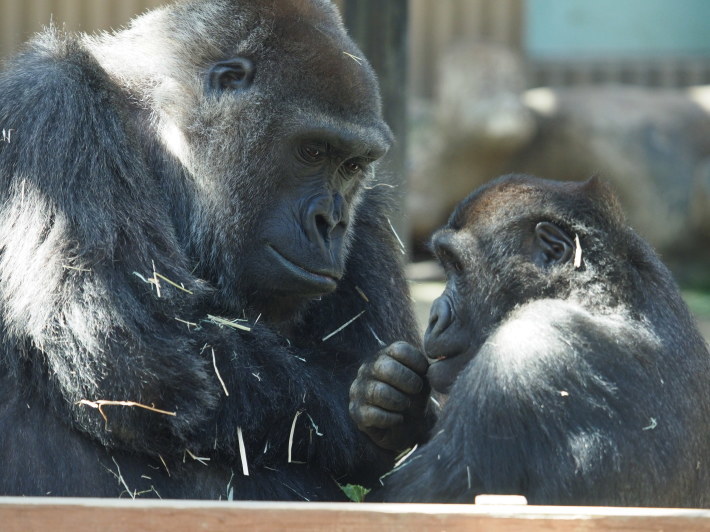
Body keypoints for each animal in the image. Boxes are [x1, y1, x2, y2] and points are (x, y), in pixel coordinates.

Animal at [0, 0, 422, 498]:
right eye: (312, 151)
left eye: (352, 165)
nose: (332, 223)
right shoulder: (52, 108)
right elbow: (140, 352)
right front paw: (374, 415)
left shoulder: (365, 203)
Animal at [354, 175, 710, 508]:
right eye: (445, 264)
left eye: (456, 265)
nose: (434, 316)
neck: (596, 292)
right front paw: (389, 395)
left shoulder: (521, 356)